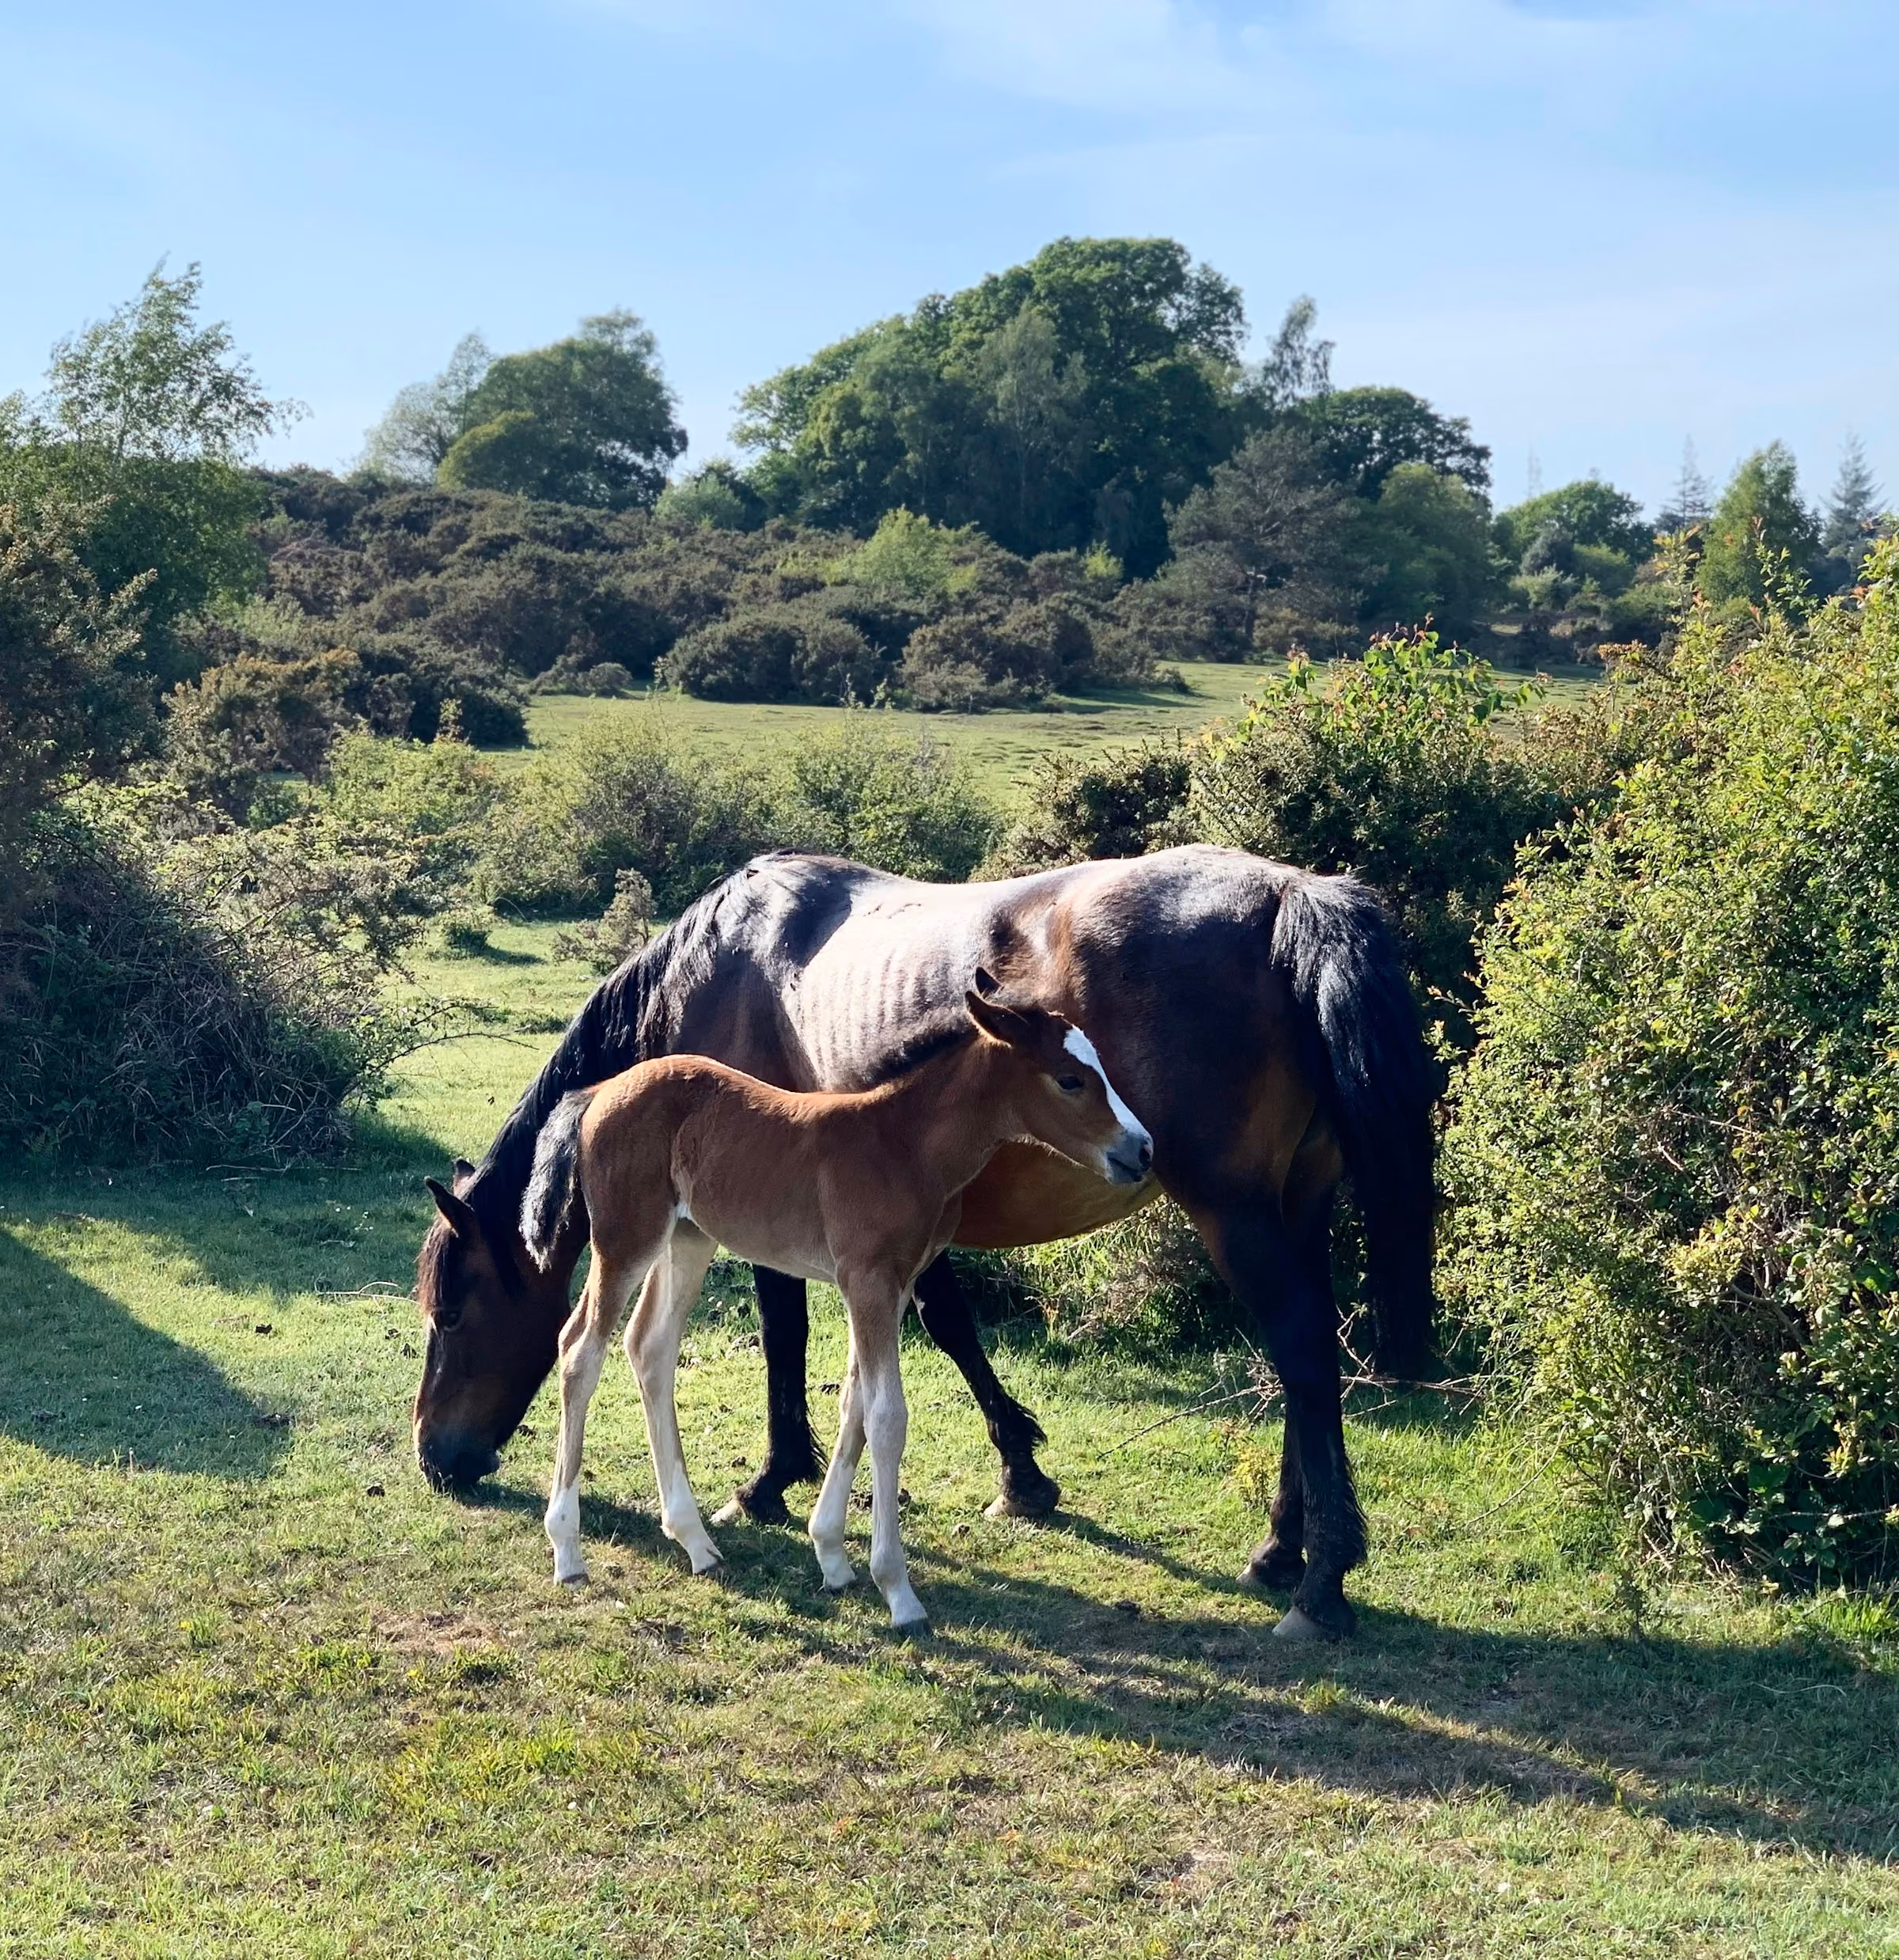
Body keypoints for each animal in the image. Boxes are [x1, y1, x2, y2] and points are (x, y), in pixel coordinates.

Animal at [515, 981, 1152, 1630]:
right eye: (1071, 1079)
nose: (1142, 1149)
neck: (904, 1145)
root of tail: (598, 1092)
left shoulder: (889, 1286)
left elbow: (855, 1402)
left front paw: (833, 1556)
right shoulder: (868, 1280)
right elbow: (887, 1416)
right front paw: (897, 1590)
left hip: (688, 1238)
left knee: (650, 1347)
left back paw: (695, 1540)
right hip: (626, 1238)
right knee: (580, 1348)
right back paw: (568, 1550)